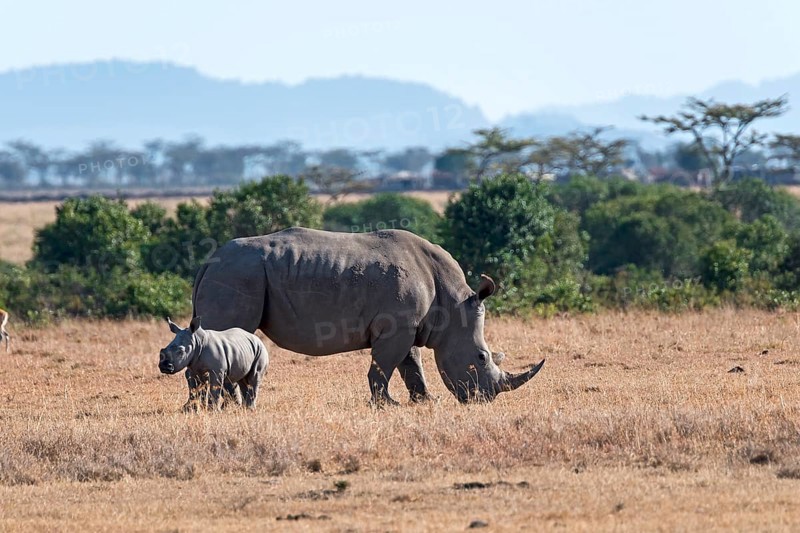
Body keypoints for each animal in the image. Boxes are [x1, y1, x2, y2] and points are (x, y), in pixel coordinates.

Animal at [191, 227, 544, 404]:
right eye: (482, 357)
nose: (485, 400)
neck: (453, 303)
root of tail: (209, 261)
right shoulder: (396, 327)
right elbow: (384, 367)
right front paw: (387, 404)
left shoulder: (408, 325)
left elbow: (411, 366)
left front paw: (425, 401)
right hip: (239, 275)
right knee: (230, 336)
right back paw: (230, 405)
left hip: (235, 273)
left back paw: (203, 406)